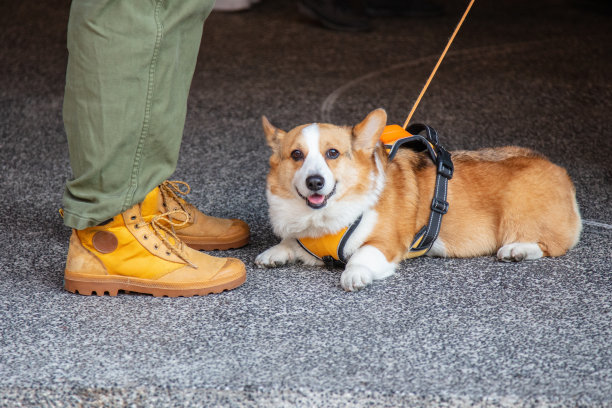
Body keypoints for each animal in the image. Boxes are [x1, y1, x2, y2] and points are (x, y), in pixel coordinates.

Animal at [255, 110, 584, 292]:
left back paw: (517, 249)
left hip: (519, 212)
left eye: (332, 153)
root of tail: (561, 172)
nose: (315, 182)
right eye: (297, 155)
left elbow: (362, 255)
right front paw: (274, 253)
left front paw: (354, 275)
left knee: (551, 245)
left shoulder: (386, 244)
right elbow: (290, 243)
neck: (322, 219)